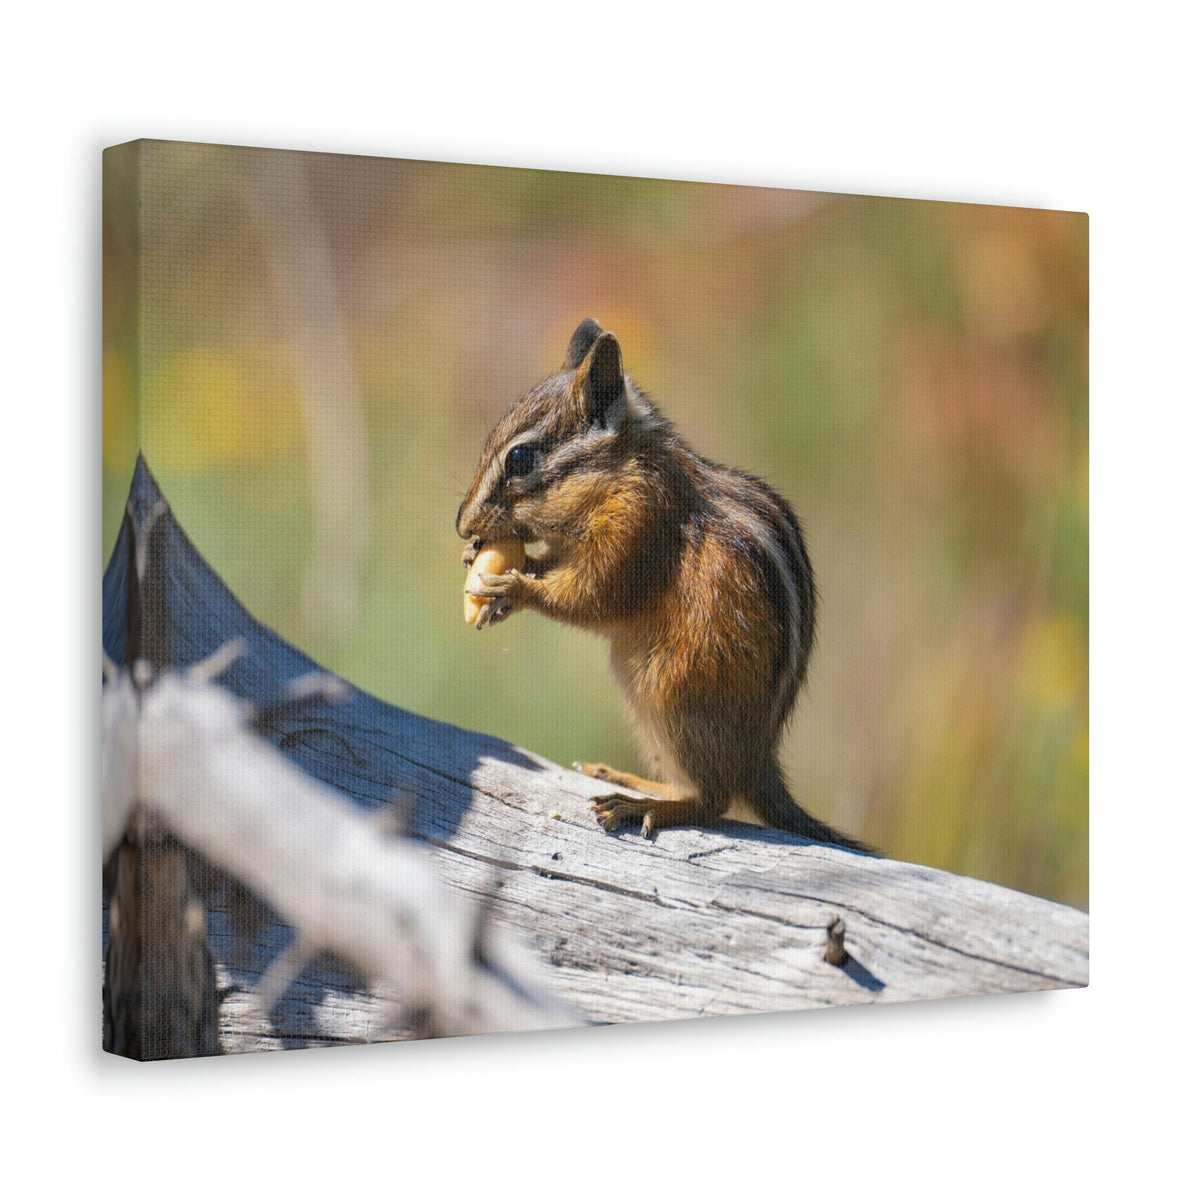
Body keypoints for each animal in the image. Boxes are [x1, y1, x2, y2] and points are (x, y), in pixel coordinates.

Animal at [457, 318, 868, 851]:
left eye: (521, 459)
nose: (462, 525)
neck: (622, 473)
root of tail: (758, 760)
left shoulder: (638, 528)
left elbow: (592, 597)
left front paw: (513, 590)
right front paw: (492, 563)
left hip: (676, 699)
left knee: (713, 801)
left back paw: (640, 806)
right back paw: (624, 778)